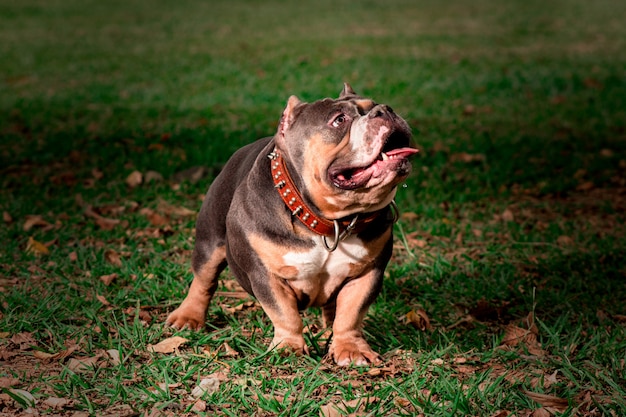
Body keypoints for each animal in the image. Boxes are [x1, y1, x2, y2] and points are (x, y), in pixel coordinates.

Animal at [167, 83, 414, 364]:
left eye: (374, 105)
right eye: (339, 120)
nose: (385, 110)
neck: (326, 220)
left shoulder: (367, 273)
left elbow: (351, 314)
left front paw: (350, 349)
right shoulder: (266, 274)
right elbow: (285, 313)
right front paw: (288, 347)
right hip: (209, 240)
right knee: (203, 279)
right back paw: (188, 317)